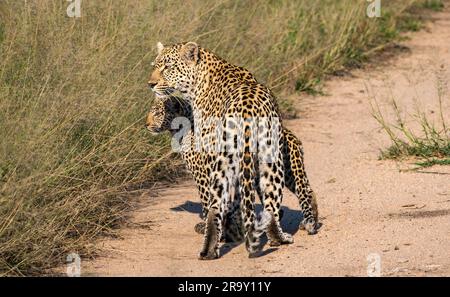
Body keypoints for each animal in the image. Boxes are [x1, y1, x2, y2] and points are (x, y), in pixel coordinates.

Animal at [148, 41, 294, 260]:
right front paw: (235, 230)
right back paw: (279, 238)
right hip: (270, 158)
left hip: (220, 163)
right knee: (271, 203)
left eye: (167, 67)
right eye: (155, 65)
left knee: (214, 208)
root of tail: (247, 111)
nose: (150, 84)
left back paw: (209, 250)